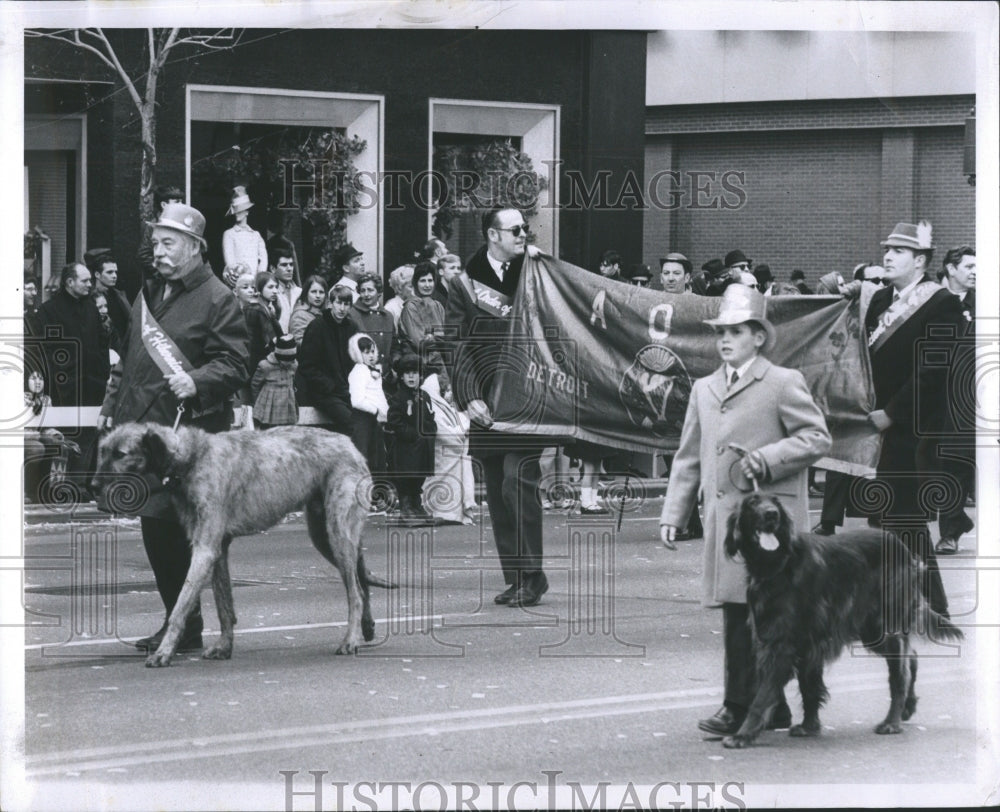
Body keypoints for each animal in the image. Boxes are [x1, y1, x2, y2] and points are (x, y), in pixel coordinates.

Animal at [724, 488, 964, 748]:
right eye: (752, 502)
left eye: (776, 502)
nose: (771, 514)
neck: (778, 563)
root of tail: (902, 546)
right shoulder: (805, 642)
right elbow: (809, 687)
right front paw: (809, 726)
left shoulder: (782, 644)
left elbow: (761, 698)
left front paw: (742, 735)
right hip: (871, 630)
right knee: (911, 658)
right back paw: (907, 708)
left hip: (883, 628)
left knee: (900, 675)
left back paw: (891, 722)